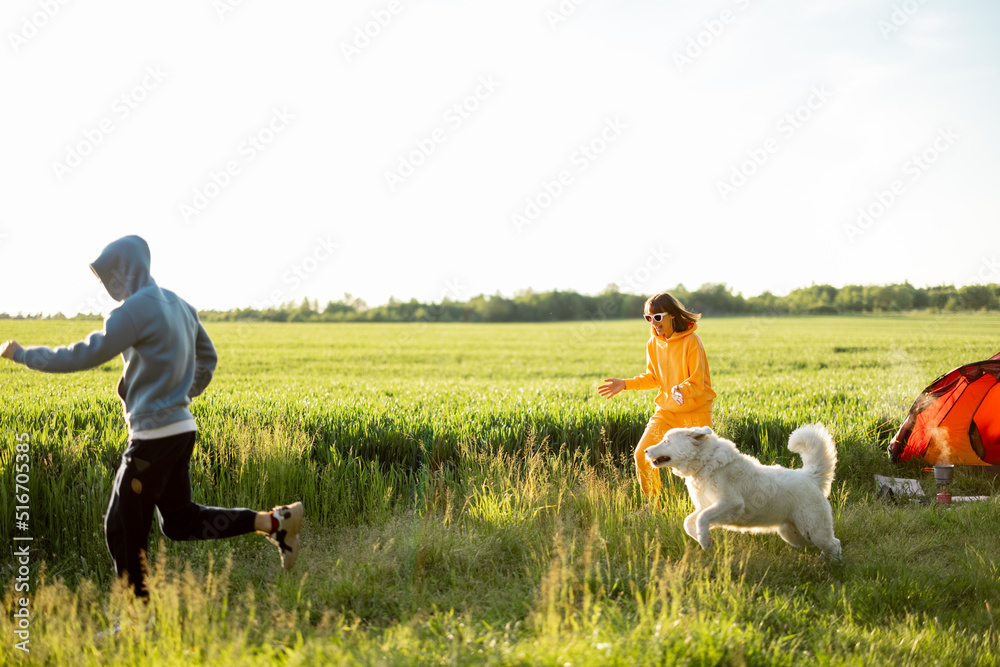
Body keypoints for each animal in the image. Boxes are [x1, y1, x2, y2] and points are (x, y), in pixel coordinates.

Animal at [640, 426, 844, 560]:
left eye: (666, 441)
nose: (646, 450)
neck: (705, 463)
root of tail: (809, 475)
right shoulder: (705, 506)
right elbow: (690, 522)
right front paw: (704, 539)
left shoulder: (731, 504)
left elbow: (701, 519)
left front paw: (704, 542)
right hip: (794, 535)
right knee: (827, 544)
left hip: (814, 530)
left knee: (835, 544)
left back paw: (833, 565)